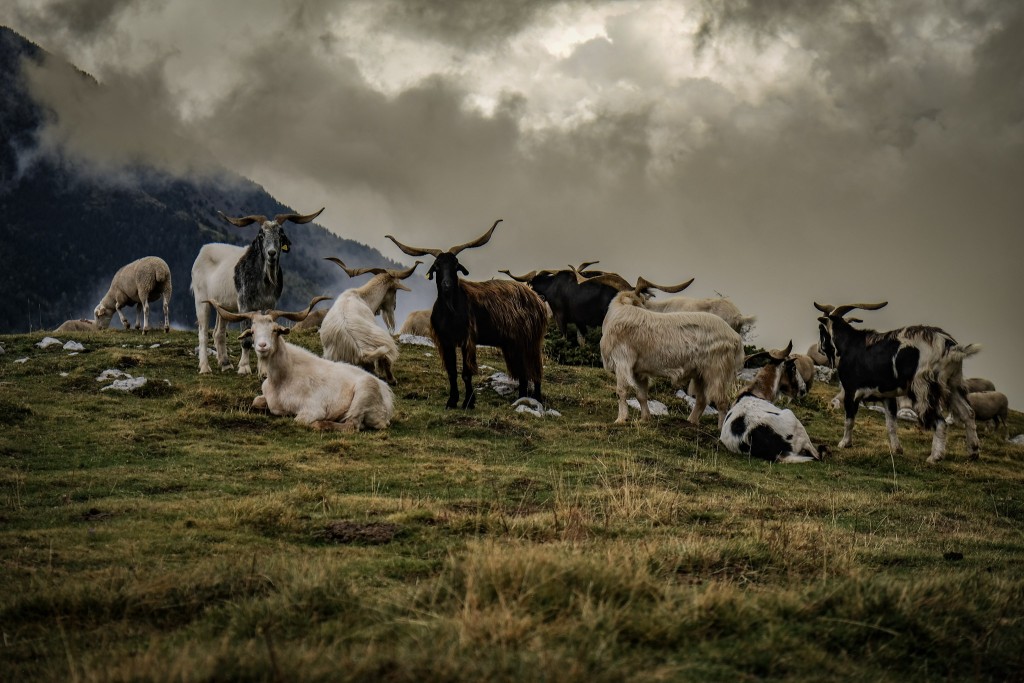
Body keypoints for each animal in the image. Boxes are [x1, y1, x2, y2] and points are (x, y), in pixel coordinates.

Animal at [190, 205, 321, 376]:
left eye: (280, 233)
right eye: (261, 234)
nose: (271, 253)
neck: (264, 280)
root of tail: (203, 251)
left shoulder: (269, 305)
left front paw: (263, 368)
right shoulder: (244, 304)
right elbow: (246, 337)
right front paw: (244, 367)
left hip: (224, 305)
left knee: (218, 333)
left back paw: (225, 363)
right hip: (201, 299)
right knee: (203, 333)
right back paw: (205, 367)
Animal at [209, 294, 393, 432]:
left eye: (275, 330)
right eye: (253, 331)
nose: (262, 346)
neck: (282, 378)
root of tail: (387, 397)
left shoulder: (312, 409)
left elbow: (299, 420)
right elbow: (256, 401)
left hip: (363, 394)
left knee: (352, 425)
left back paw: (322, 424)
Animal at [385, 222, 548, 409]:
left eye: (455, 265)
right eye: (437, 265)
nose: (447, 285)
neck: (450, 311)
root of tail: (537, 299)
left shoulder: (467, 339)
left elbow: (466, 373)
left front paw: (468, 402)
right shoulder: (445, 341)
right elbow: (451, 372)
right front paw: (451, 401)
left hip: (531, 340)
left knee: (535, 369)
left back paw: (536, 398)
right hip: (513, 344)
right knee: (522, 372)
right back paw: (520, 398)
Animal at [815, 301, 974, 464]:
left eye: (821, 328)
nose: (819, 349)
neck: (849, 344)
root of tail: (948, 345)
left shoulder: (851, 391)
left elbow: (849, 420)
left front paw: (844, 443)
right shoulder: (887, 396)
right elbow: (891, 424)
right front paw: (897, 449)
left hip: (924, 389)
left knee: (941, 422)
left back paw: (935, 457)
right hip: (952, 384)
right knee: (968, 413)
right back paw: (973, 452)